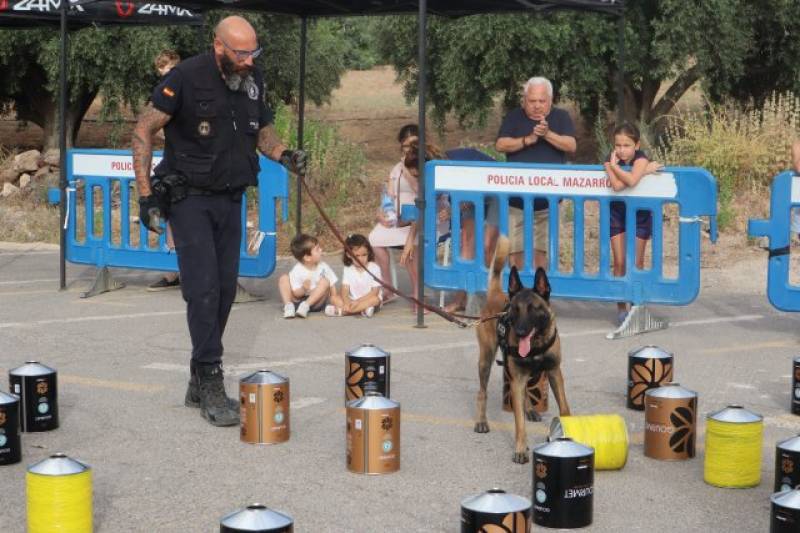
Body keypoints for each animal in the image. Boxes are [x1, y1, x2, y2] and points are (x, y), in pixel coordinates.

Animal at [476, 236, 568, 462]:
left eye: (533, 309)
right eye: (515, 310)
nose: (519, 332)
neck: (537, 344)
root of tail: (495, 294)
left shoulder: (554, 373)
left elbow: (564, 407)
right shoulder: (516, 379)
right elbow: (519, 422)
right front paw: (520, 448)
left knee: (525, 391)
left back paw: (530, 409)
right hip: (486, 361)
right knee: (482, 392)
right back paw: (481, 421)